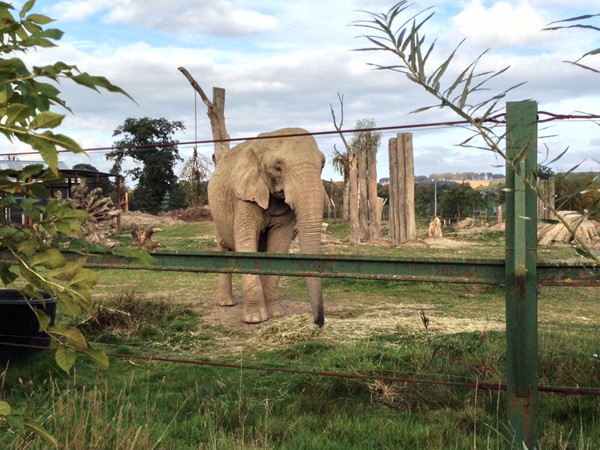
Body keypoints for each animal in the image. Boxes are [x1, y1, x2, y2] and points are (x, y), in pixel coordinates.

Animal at [209, 126, 326, 326]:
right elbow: (246, 241)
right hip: (216, 215)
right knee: (224, 248)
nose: (318, 322)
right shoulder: (243, 196)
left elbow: (279, 244)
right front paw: (255, 319)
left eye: (323, 165)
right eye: (278, 167)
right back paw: (226, 304)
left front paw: (275, 314)